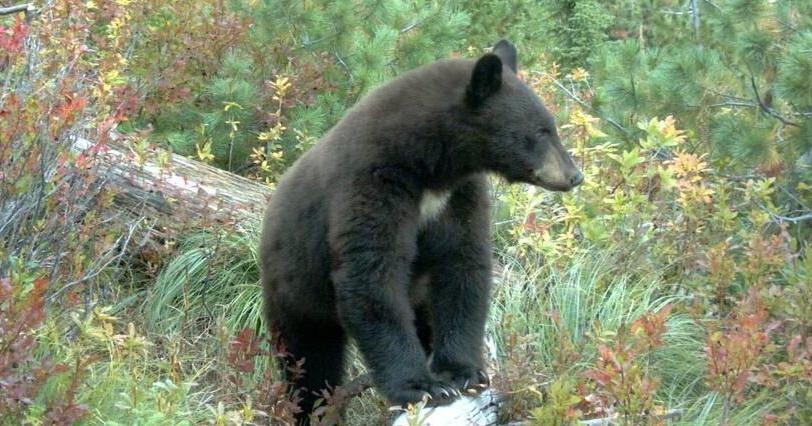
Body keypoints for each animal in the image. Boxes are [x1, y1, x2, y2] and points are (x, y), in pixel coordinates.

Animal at [259, 40, 583, 424]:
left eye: (551, 127)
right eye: (540, 131)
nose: (574, 175)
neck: (429, 166)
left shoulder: (458, 196)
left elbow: (463, 266)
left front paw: (463, 372)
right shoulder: (372, 183)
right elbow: (372, 274)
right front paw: (421, 386)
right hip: (297, 295)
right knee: (309, 365)